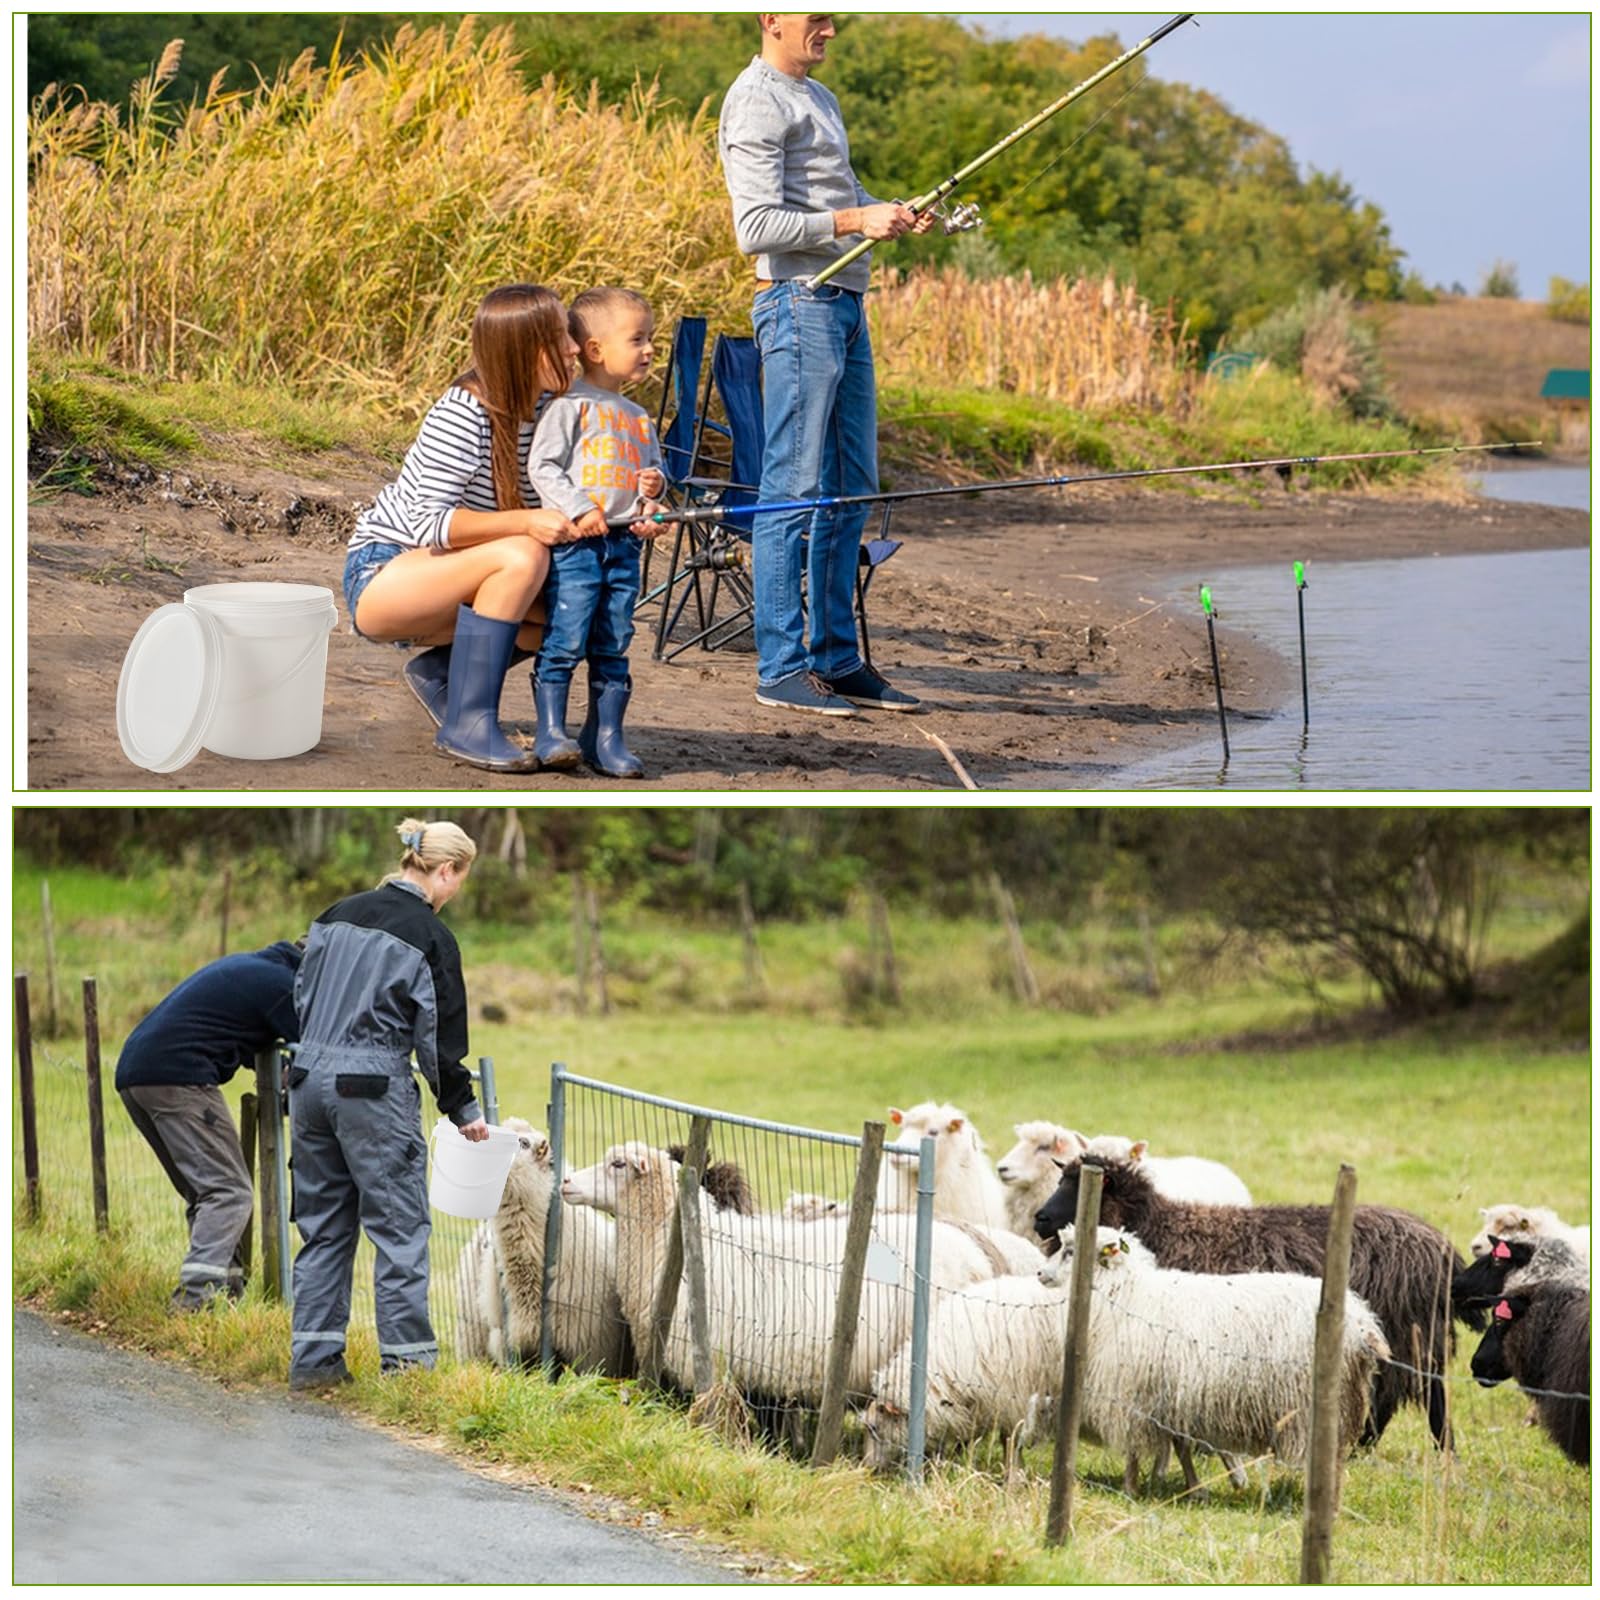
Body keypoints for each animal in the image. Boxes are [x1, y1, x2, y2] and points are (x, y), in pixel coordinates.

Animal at [1036, 1158, 1472, 1446]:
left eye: (1075, 1188)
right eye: (1059, 1180)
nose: (1040, 1218)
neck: (1160, 1227)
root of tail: (1444, 1250)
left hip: (1409, 1336)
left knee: (1419, 1396)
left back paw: (1425, 1450)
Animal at [1036, 1222, 1388, 1497]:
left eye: (1071, 1251)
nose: (1040, 1273)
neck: (1124, 1293)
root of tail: (1363, 1324)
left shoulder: (1136, 1391)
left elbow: (1136, 1448)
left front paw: (1130, 1489)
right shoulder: (1174, 1394)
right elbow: (1181, 1445)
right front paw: (1195, 1489)